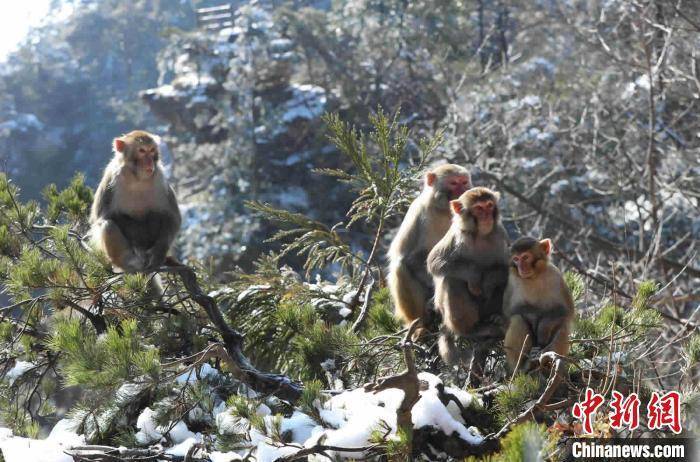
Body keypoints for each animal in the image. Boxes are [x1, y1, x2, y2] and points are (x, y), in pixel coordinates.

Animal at [89, 130, 182, 272]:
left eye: (152, 150)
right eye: (142, 151)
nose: (149, 162)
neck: (137, 178)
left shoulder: (160, 180)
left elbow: (172, 217)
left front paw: (157, 254)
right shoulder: (110, 178)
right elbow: (102, 217)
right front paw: (137, 240)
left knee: (156, 214)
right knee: (107, 225)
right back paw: (130, 262)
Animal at [386, 164, 474, 338]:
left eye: (464, 182)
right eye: (454, 183)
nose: (462, 191)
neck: (445, 210)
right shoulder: (417, 213)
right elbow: (407, 258)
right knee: (400, 267)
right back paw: (419, 325)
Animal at [504, 236, 576, 374]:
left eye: (525, 257)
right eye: (516, 259)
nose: (521, 268)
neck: (533, 277)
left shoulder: (556, 277)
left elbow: (565, 311)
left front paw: (543, 327)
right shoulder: (512, 281)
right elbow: (511, 311)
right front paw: (533, 317)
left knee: (563, 326)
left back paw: (546, 360)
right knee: (517, 320)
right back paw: (524, 365)